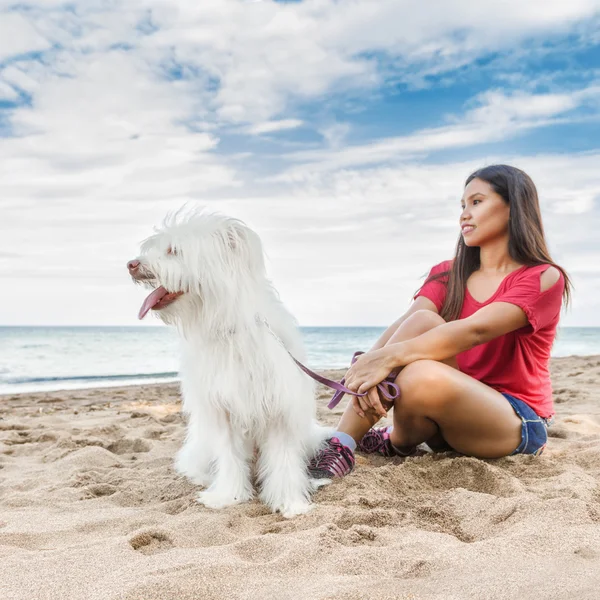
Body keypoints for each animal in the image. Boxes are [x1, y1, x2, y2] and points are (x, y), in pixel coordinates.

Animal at [127, 206, 332, 516]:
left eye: (174, 250)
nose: (131, 264)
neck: (229, 325)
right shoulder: (223, 409)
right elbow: (230, 456)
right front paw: (228, 496)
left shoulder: (280, 410)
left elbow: (283, 460)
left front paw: (290, 502)